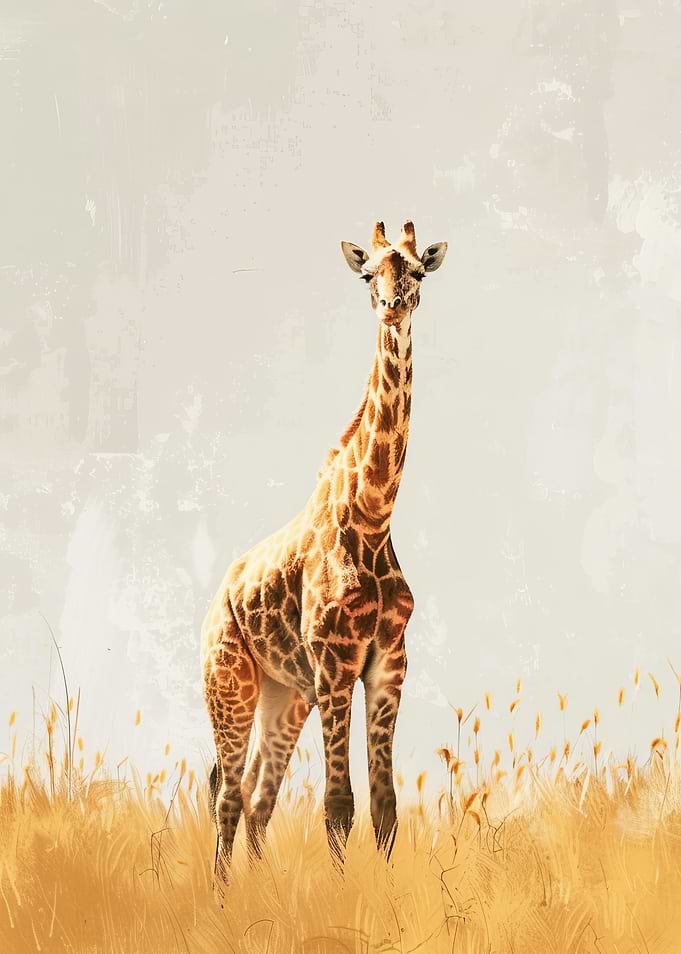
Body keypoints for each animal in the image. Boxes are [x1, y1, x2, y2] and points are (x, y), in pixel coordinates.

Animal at [201, 220, 447, 881]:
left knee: (257, 796)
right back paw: (219, 895)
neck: (373, 518)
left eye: (418, 270)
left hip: (285, 696)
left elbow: (386, 805)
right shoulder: (335, 661)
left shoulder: (388, 660)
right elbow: (339, 804)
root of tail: (216, 598)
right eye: (367, 275)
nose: (393, 305)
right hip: (229, 683)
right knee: (227, 792)